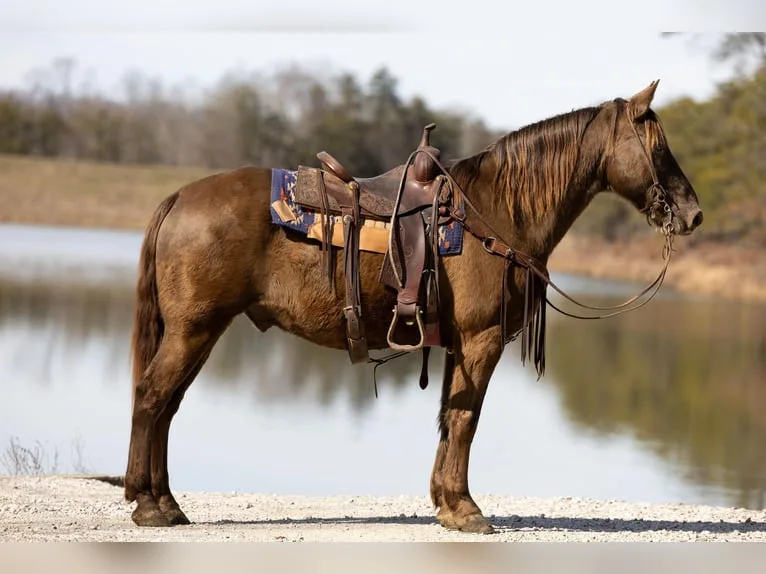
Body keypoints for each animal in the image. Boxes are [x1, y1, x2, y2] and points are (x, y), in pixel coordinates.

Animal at [123, 80, 703, 534]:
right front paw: (466, 509)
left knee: (166, 405)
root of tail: (178, 198)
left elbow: (449, 416)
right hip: (194, 330)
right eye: (658, 148)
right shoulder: (481, 340)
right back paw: (149, 505)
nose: (693, 213)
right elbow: (466, 418)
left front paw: (447, 504)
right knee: (152, 398)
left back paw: (167, 503)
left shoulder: (457, 345)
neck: (496, 212)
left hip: (199, 332)